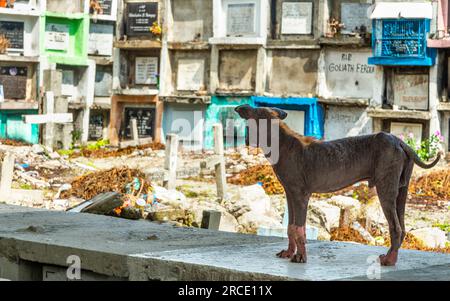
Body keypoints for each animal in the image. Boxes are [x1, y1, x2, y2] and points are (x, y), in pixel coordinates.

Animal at [236, 104, 442, 264]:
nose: (244, 139)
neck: (280, 143)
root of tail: (400, 142)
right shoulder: (290, 193)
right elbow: (290, 227)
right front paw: (289, 252)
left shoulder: (301, 195)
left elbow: (299, 228)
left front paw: (301, 257)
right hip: (402, 189)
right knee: (402, 226)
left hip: (386, 188)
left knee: (396, 227)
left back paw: (389, 260)